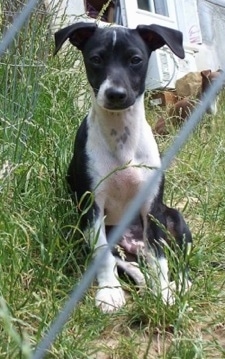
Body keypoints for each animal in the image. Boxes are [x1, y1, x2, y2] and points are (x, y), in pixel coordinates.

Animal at [54, 22, 192, 314]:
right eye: (96, 59)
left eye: (135, 60)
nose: (115, 94)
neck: (121, 138)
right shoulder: (93, 208)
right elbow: (102, 256)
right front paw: (109, 292)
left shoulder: (152, 209)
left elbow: (160, 260)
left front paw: (164, 294)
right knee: (132, 267)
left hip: (175, 220)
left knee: (176, 260)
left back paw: (178, 286)